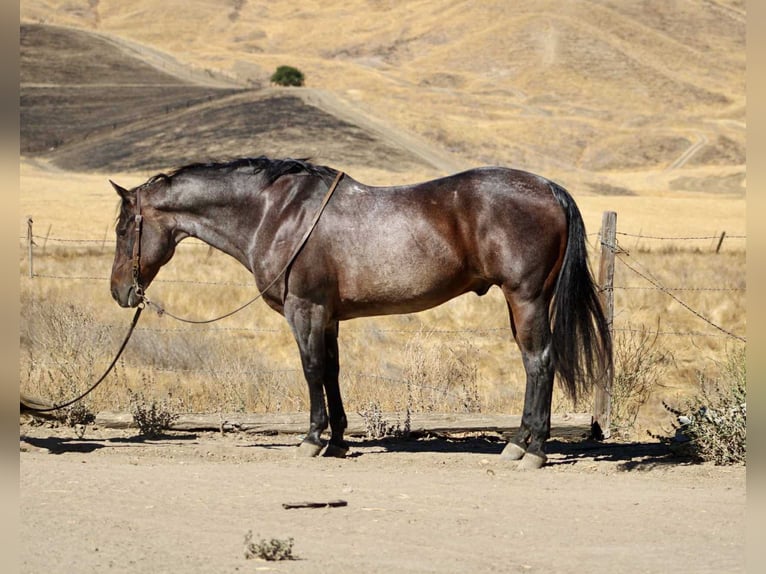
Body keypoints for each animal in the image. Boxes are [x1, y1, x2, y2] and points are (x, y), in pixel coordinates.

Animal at [109, 156, 611, 469]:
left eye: (122, 228)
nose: (120, 292)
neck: (278, 213)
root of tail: (549, 188)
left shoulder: (305, 310)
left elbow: (312, 370)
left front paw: (312, 439)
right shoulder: (328, 317)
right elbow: (331, 372)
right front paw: (336, 441)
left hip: (526, 298)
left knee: (539, 362)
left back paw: (532, 450)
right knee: (533, 364)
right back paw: (520, 443)